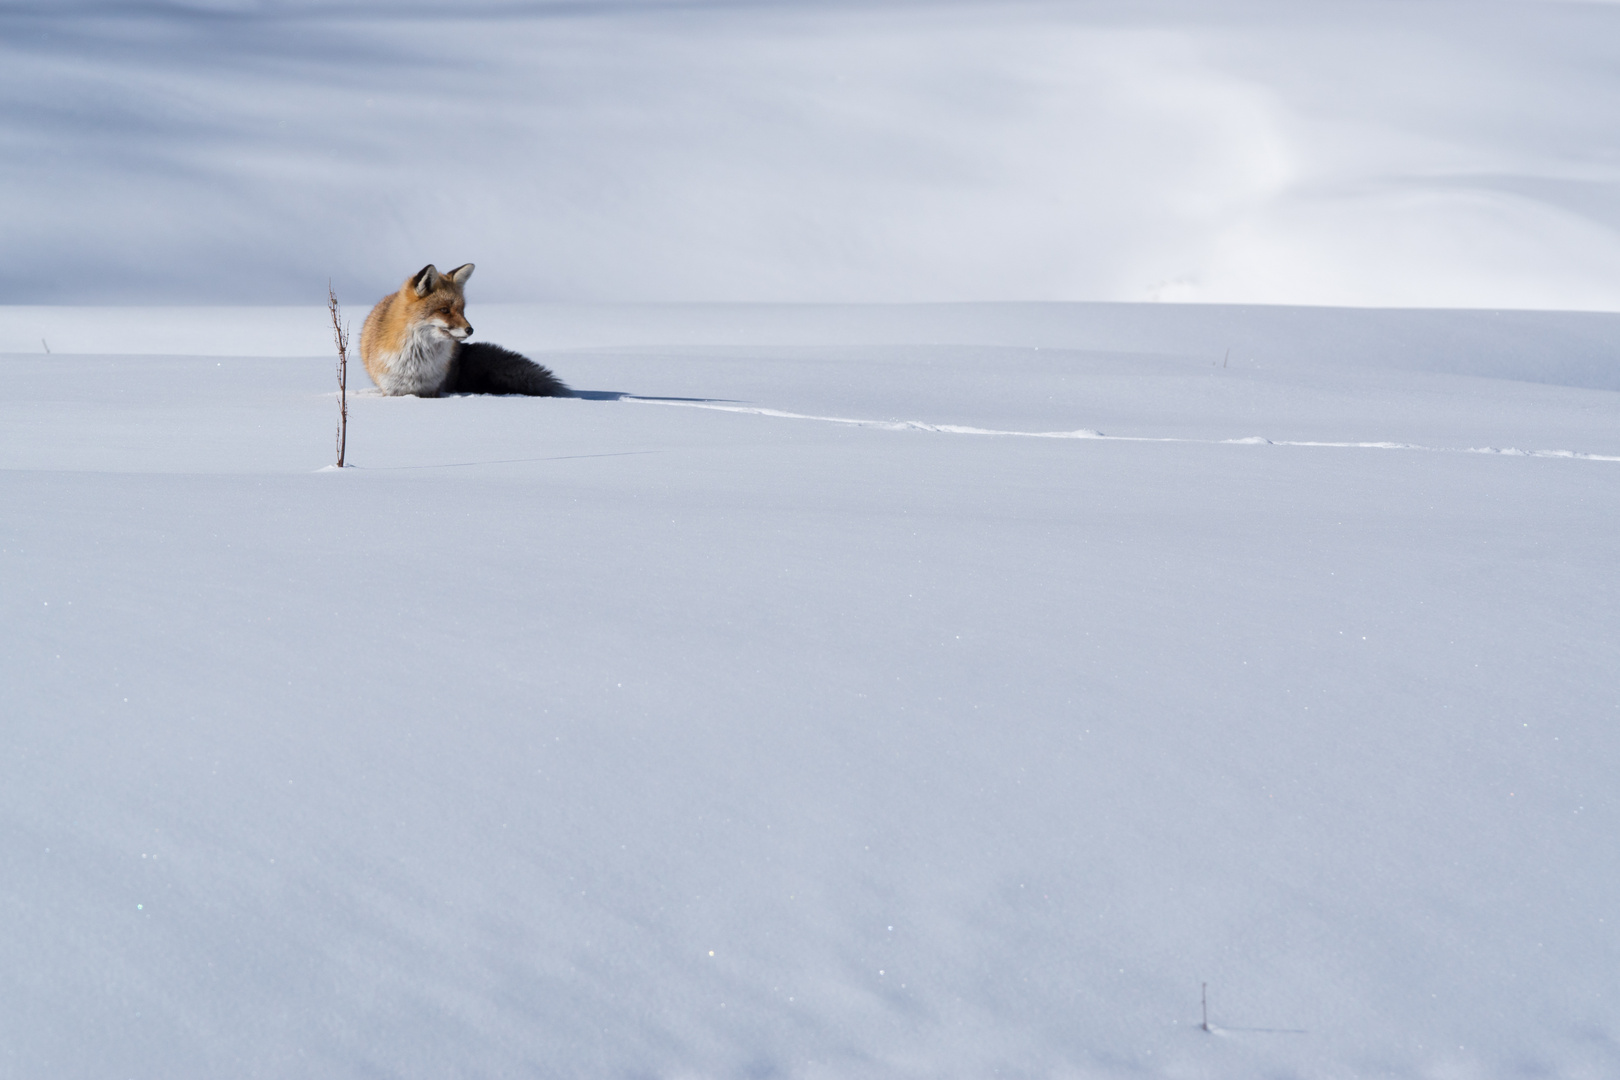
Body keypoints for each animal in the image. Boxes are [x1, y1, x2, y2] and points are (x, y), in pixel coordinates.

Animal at [361, 263, 570, 399]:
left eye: (462, 310)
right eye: (444, 310)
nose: (470, 330)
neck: (416, 362)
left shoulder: (432, 390)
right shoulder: (392, 390)